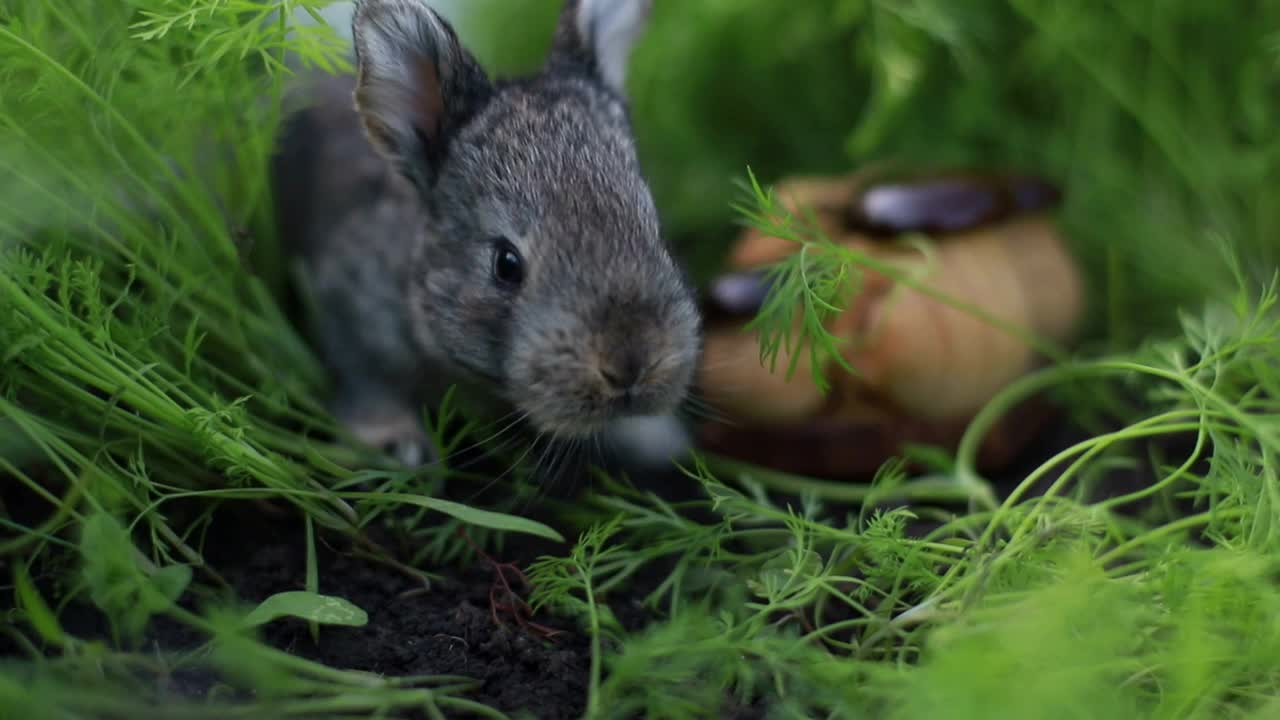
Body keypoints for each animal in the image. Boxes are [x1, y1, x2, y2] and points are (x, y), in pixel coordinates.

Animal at [271, 0, 706, 471]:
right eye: (506, 264)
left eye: (656, 230)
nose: (629, 365)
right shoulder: (351, 305)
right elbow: (367, 378)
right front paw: (395, 444)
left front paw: (655, 440)